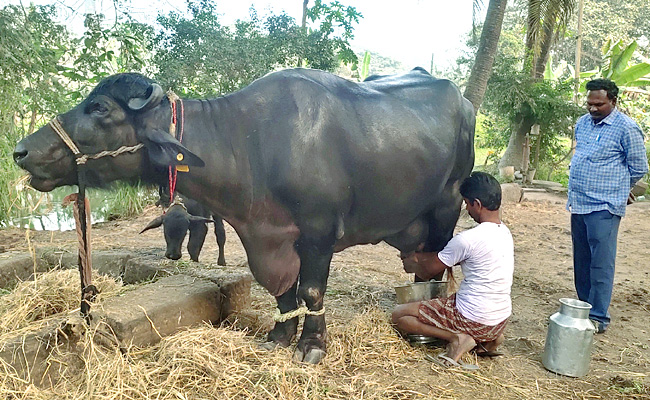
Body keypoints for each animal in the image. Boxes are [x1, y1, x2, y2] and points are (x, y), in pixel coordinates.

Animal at [14, 67, 475, 363]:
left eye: (100, 108)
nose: (20, 151)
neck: (252, 144)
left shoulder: (318, 232)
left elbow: (311, 292)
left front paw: (312, 346)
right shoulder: (264, 236)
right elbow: (283, 293)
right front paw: (279, 336)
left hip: (449, 204)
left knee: (436, 269)